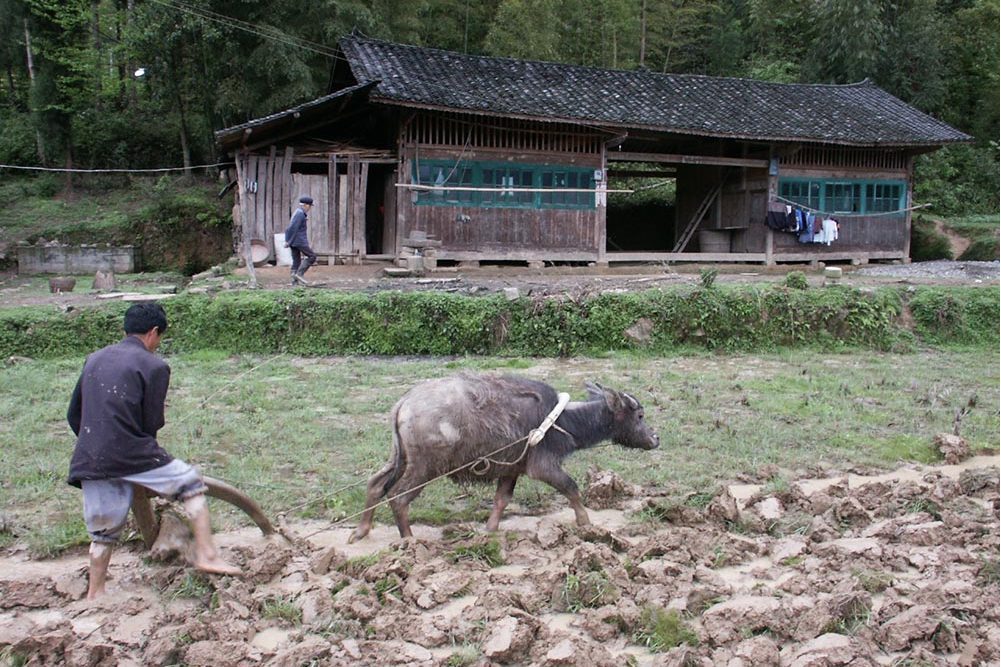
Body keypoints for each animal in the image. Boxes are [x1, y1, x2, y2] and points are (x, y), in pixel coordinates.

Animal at [348, 370, 660, 544]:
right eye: (639, 415)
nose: (655, 438)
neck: (563, 420)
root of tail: (405, 403)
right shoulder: (542, 467)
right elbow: (571, 487)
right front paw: (586, 523)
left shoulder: (511, 469)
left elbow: (502, 500)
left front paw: (489, 529)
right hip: (425, 467)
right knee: (398, 497)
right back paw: (409, 542)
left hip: (399, 458)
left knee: (375, 484)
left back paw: (361, 531)